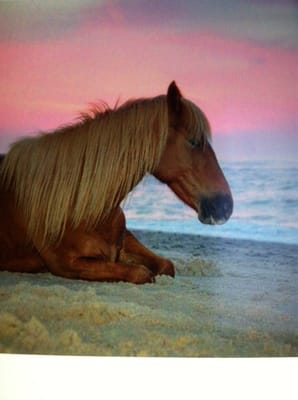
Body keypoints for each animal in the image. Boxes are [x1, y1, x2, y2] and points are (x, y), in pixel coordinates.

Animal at [0, 83, 233, 284]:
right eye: (193, 142)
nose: (225, 206)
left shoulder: (124, 243)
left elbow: (166, 266)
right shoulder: (64, 263)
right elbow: (141, 273)